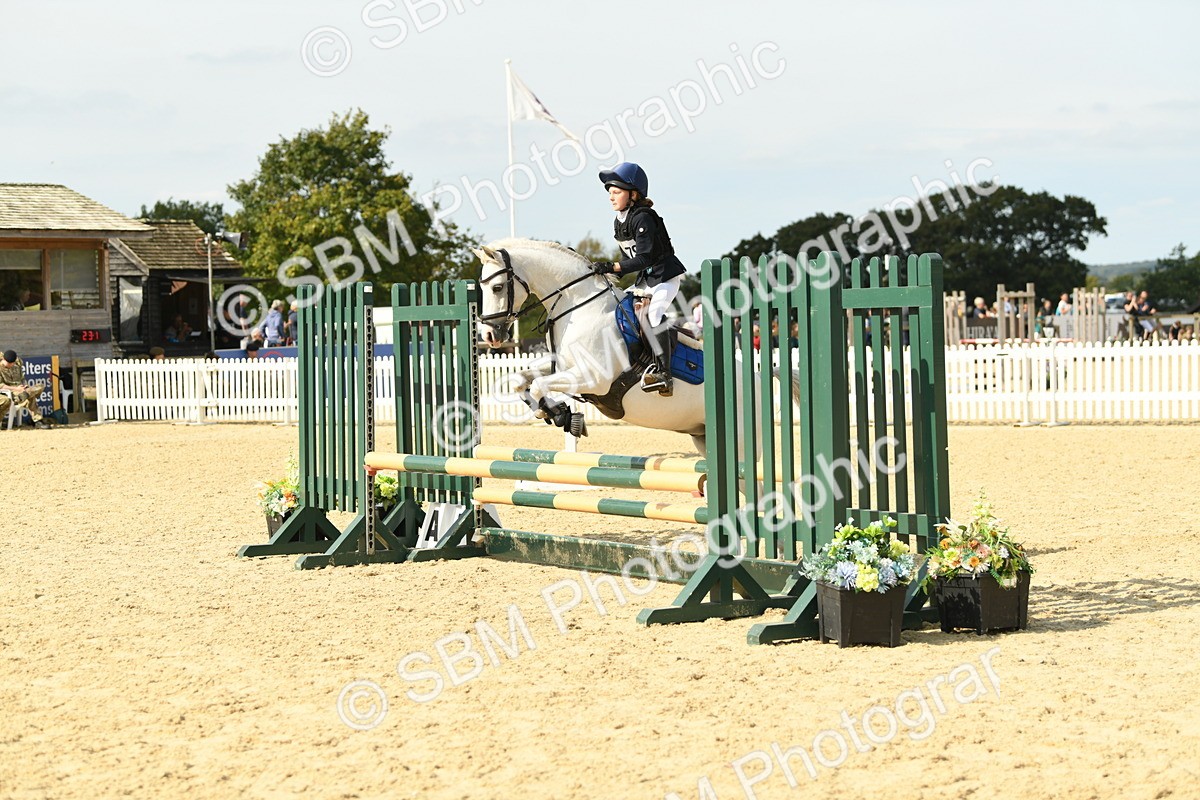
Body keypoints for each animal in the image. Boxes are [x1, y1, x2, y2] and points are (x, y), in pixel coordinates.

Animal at [473, 239, 710, 454]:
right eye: (482, 287)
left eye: (497, 287)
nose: (489, 335)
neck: (580, 305)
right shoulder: (563, 366)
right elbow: (520, 379)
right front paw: (558, 414)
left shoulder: (595, 378)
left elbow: (539, 384)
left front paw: (558, 413)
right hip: (701, 436)